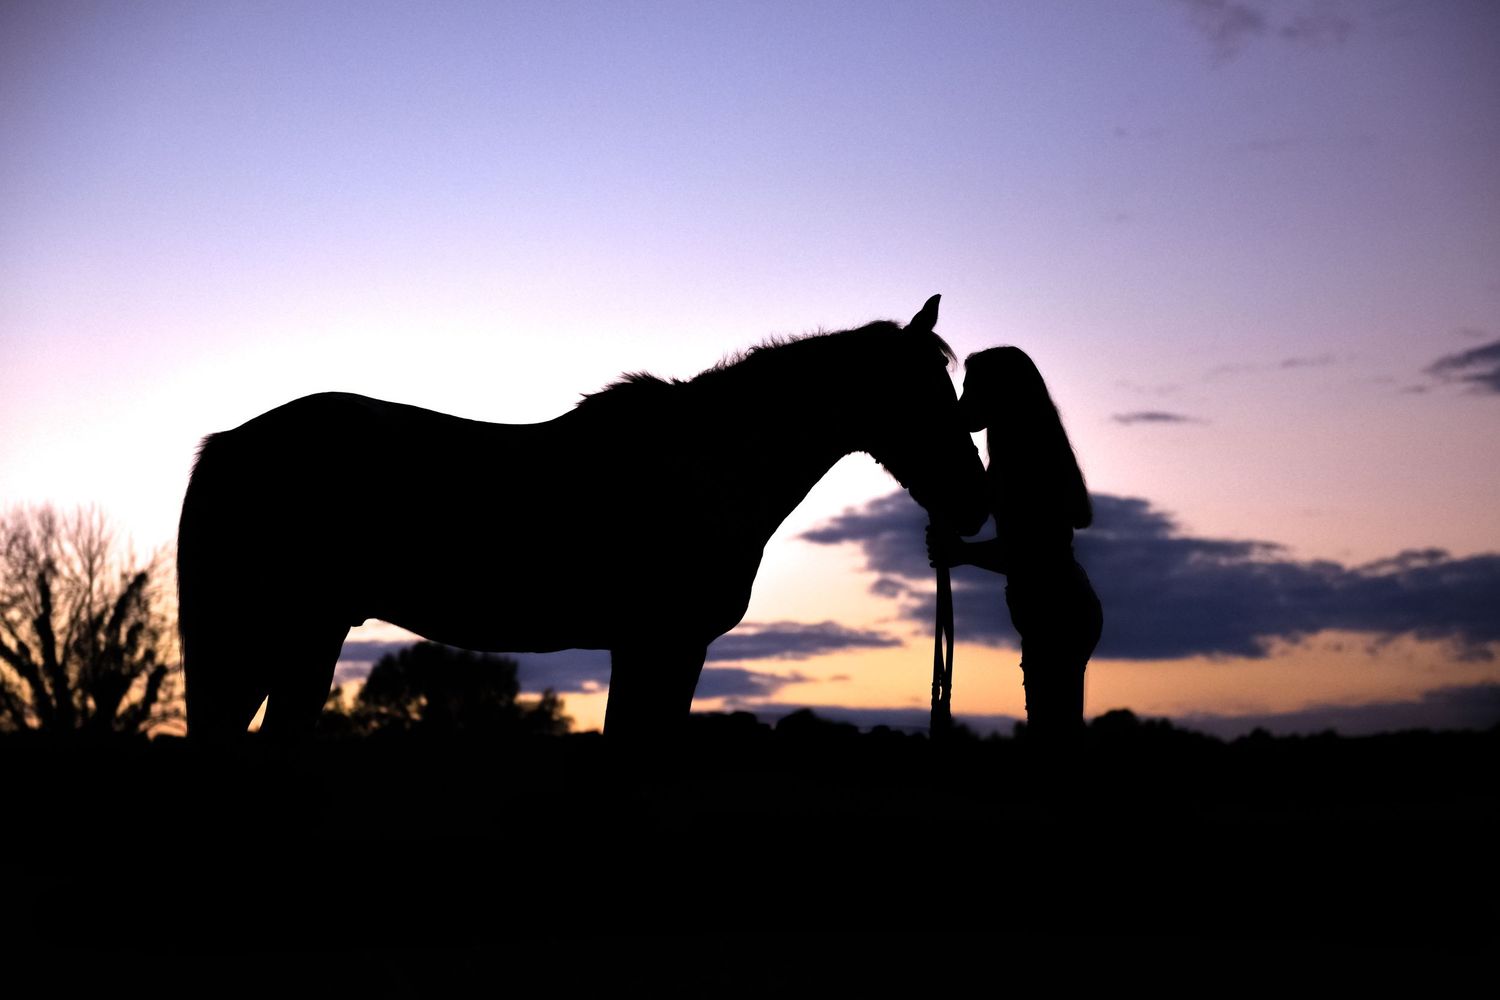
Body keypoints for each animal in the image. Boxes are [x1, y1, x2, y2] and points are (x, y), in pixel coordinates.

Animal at [177, 295, 987, 738]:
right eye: (921, 394)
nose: (974, 501)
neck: (708, 466)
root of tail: (228, 445)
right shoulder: (663, 644)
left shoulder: (649, 648)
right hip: (280, 631)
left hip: (305, 634)